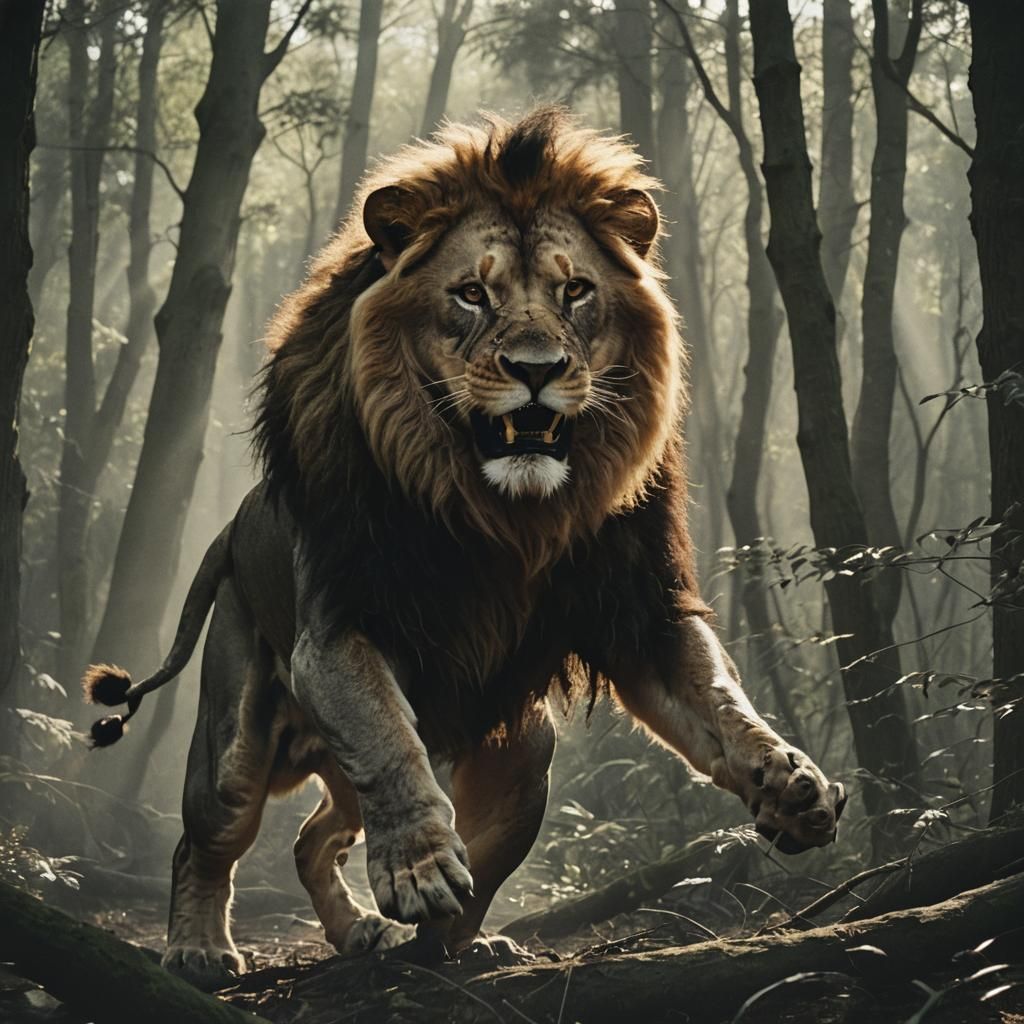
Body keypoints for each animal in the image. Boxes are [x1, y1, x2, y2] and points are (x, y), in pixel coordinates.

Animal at [83, 108, 846, 990]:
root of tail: (234, 523)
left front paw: (791, 784)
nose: (537, 370)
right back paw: (203, 949)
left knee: (320, 839)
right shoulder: (336, 632)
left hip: (516, 747)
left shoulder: (639, 610)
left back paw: (399, 939)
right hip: (236, 745)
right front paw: (418, 869)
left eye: (575, 291)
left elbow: (719, 703)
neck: (504, 515)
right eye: (472, 294)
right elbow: (389, 745)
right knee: (204, 840)